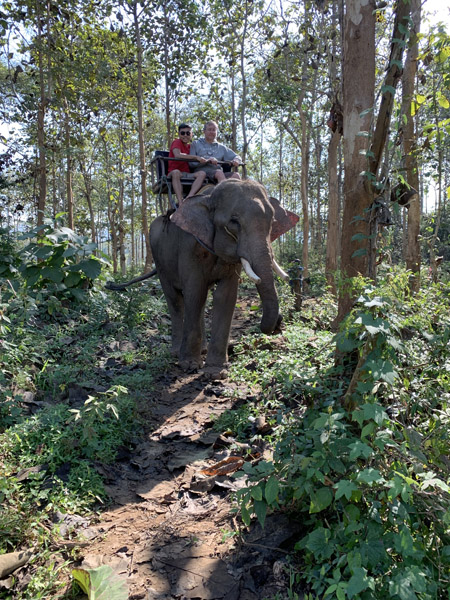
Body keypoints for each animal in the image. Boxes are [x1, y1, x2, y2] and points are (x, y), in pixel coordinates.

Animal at [149, 178, 298, 376]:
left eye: (272, 221)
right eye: (234, 222)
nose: (278, 324)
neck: (209, 197)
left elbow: (225, 296)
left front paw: (215, 371)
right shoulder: (189, 246)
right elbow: (195, 292)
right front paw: (189, 365)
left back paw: (202, 350)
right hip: (159, 261)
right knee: (175, 300)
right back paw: (175, 352)